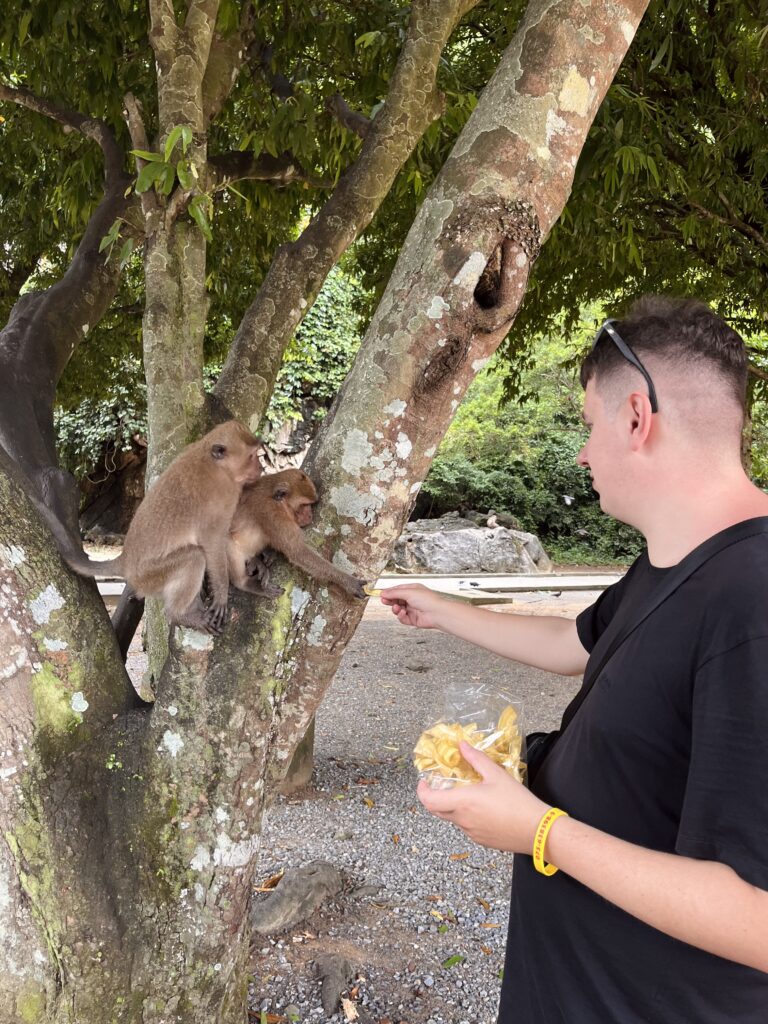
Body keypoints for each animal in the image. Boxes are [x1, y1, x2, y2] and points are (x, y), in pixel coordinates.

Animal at [64, 420, 263, 634]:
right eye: (252, 455)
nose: (260, 467)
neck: (217, 466)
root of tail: (125, 560)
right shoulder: (223, 497)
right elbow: (214, 543)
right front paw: (222, 593)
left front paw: (256, 561)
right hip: (149, 576)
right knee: (194, 557)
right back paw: (178, 614)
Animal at [226, 468, 367, 600]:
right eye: (304, 505)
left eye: (311, 504)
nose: (309, 515)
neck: (276, 501)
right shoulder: (273, 515)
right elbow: (298, 552)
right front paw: (349, 582)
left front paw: (268, 553)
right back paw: (245, 583)